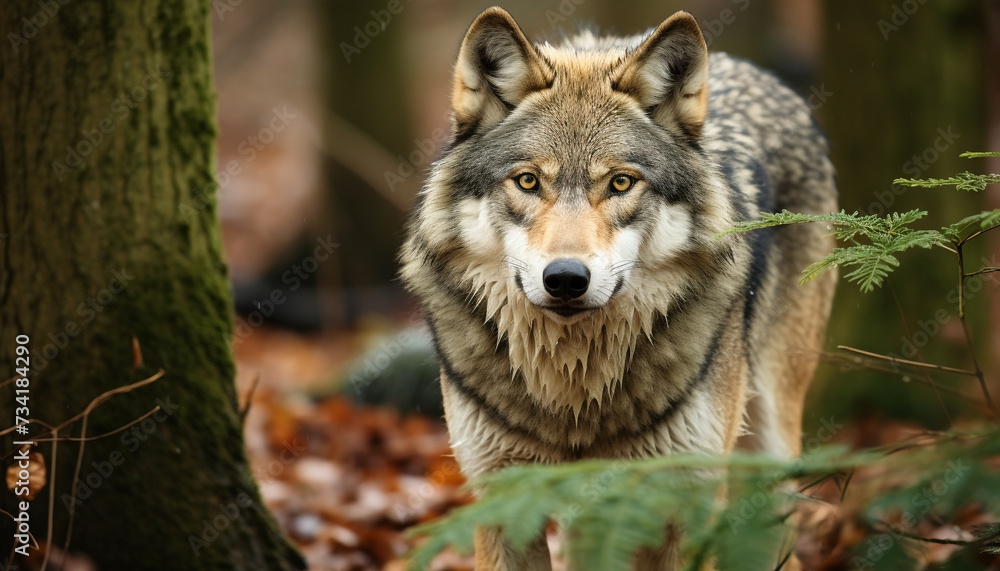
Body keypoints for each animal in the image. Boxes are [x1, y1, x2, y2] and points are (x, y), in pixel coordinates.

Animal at [400, 6, 837, 569]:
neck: (574, 393)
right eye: (527, 181)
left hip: (767, 450)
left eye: (621, 183)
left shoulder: (689, 498)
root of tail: (763, 74)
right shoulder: (502, 500)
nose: (565, 278)